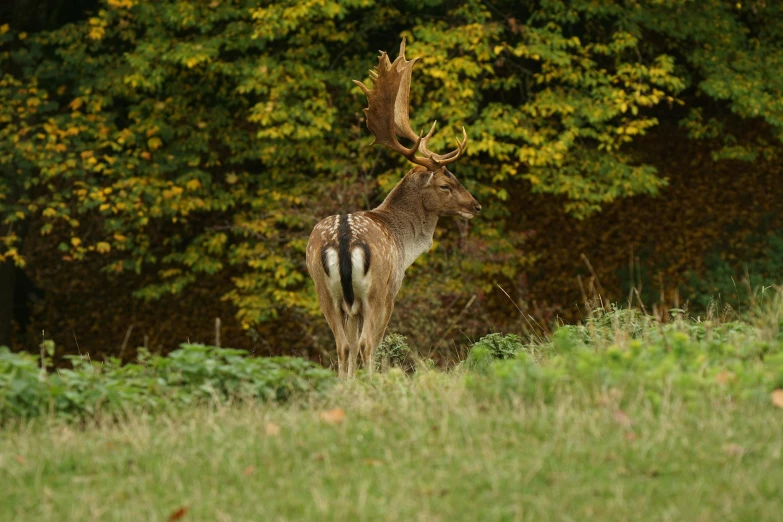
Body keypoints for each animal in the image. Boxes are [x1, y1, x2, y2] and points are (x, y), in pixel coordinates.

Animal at [304, 38, 478, 376]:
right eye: (445, 185)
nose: (475, 206)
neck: (405, 245)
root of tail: (343, 238)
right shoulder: (392, 288)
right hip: (373, 292)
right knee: (365, 344)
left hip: (323, 291)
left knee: (343, 345)